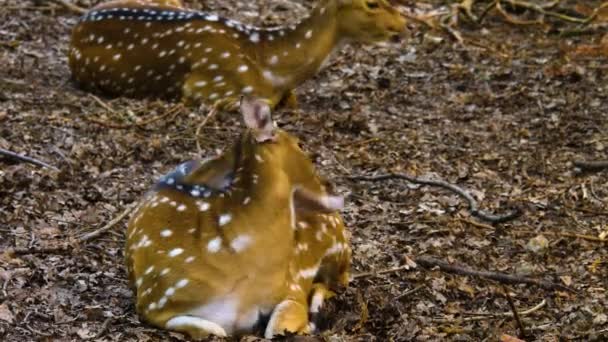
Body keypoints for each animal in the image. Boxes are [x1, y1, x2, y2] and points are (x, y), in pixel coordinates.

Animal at [124, 97, 352, 340]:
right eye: (301, 144)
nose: (332, 188)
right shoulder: (156, 299)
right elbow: (214, 329)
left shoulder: (292, 287)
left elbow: (276, 326)